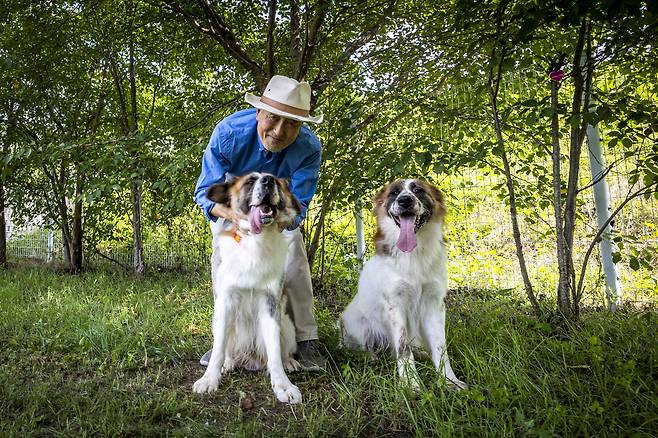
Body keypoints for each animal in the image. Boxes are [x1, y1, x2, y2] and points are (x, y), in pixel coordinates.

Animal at [338, 178, 466, 390]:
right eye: (394, 192)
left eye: (418, 190)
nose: (405, 201)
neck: (414, 254)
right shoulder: (395, 305)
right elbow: (403, 348)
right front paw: (410, 384)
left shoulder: (434, 304)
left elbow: (440, 347)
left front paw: (449, 380)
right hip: (356, 323)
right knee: (361, 346)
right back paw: (370, 355)